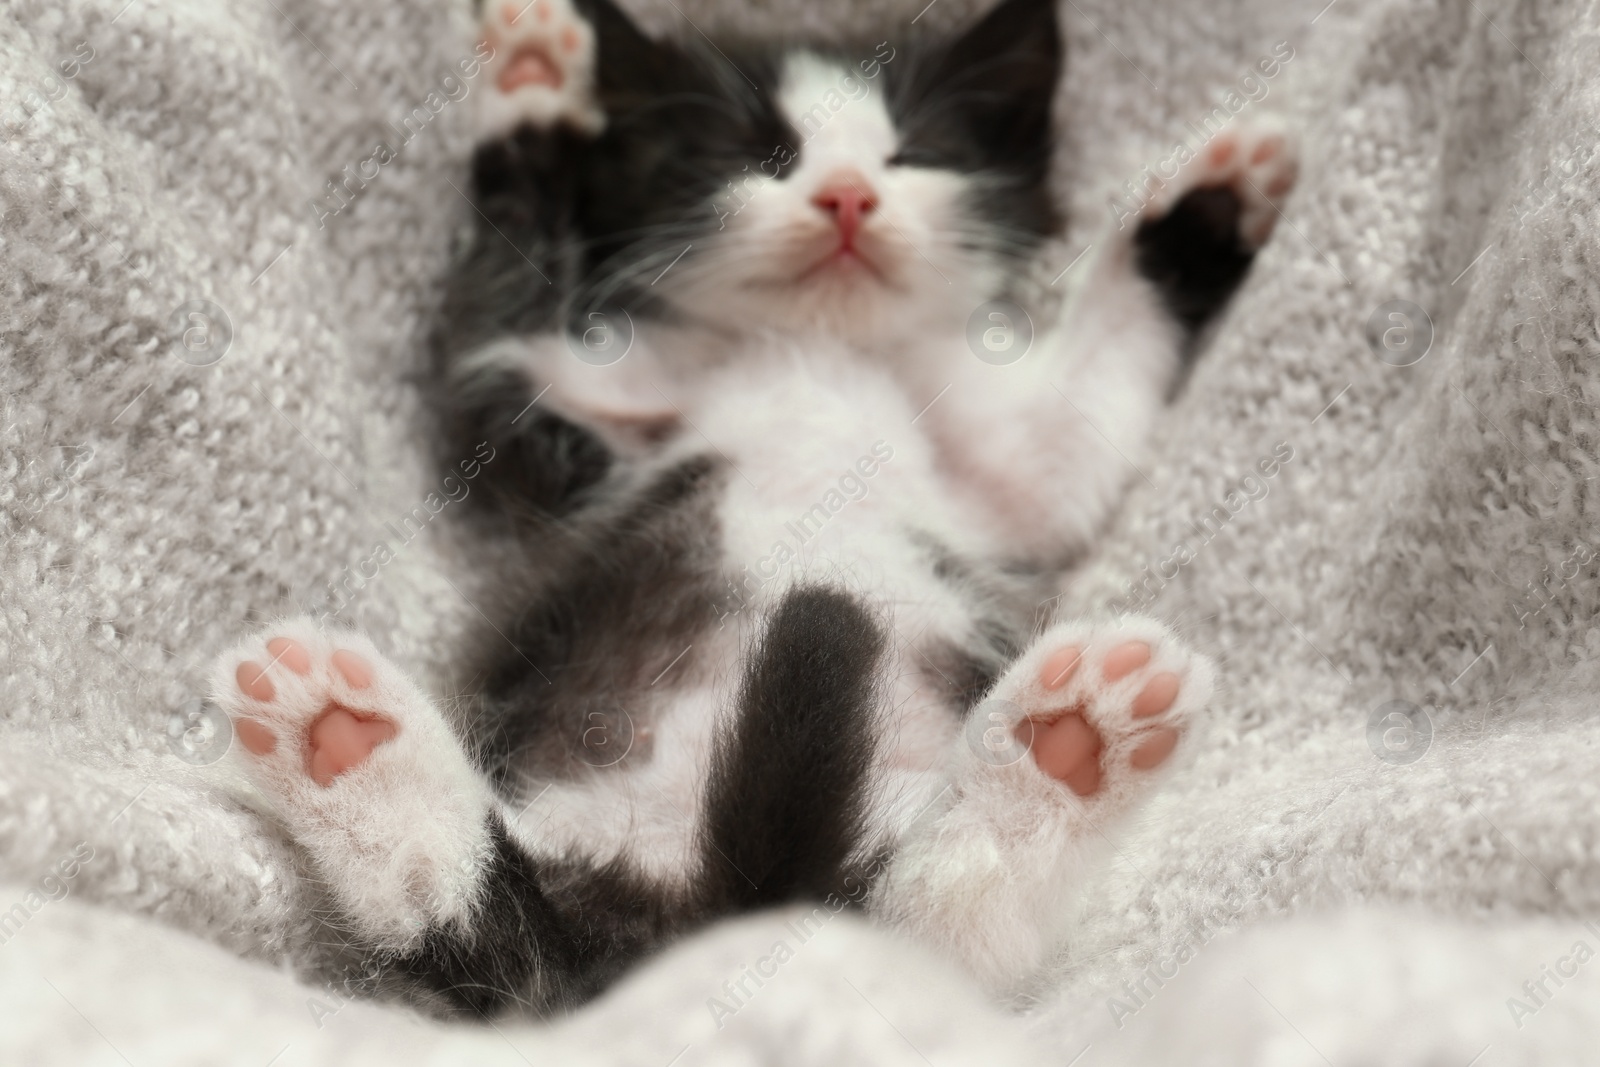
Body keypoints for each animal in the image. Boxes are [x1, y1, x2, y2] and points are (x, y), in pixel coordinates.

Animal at [209, 0, 1299, 1017]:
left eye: (911, 154)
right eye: (762, 154)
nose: (847, 195)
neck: (815, 347)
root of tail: (719, 925)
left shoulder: (1001, 467)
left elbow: (1081, 432)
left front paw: (1209, 205)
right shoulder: (555, 413)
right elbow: (491, 316)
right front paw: (532, 86)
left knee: (926, 931)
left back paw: (1066, 745)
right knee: (510, 950)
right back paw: (349, 744)